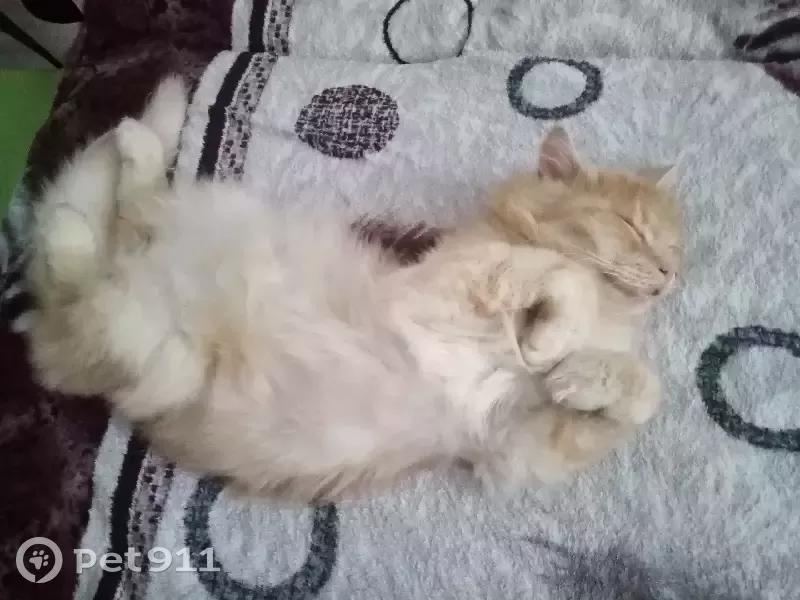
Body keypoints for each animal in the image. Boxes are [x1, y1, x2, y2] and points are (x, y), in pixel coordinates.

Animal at [26, 77, 681, 502]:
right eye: (633, 229)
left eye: (677, 251)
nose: (670, 275)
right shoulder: (445, 289)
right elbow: (558, 275)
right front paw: (550, 340)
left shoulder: (516, 447)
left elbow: (644, 392)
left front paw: (581, 376)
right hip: (141, 336)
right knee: (83, 255)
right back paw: (103, 178)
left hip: (144, 344)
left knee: (107, 242)